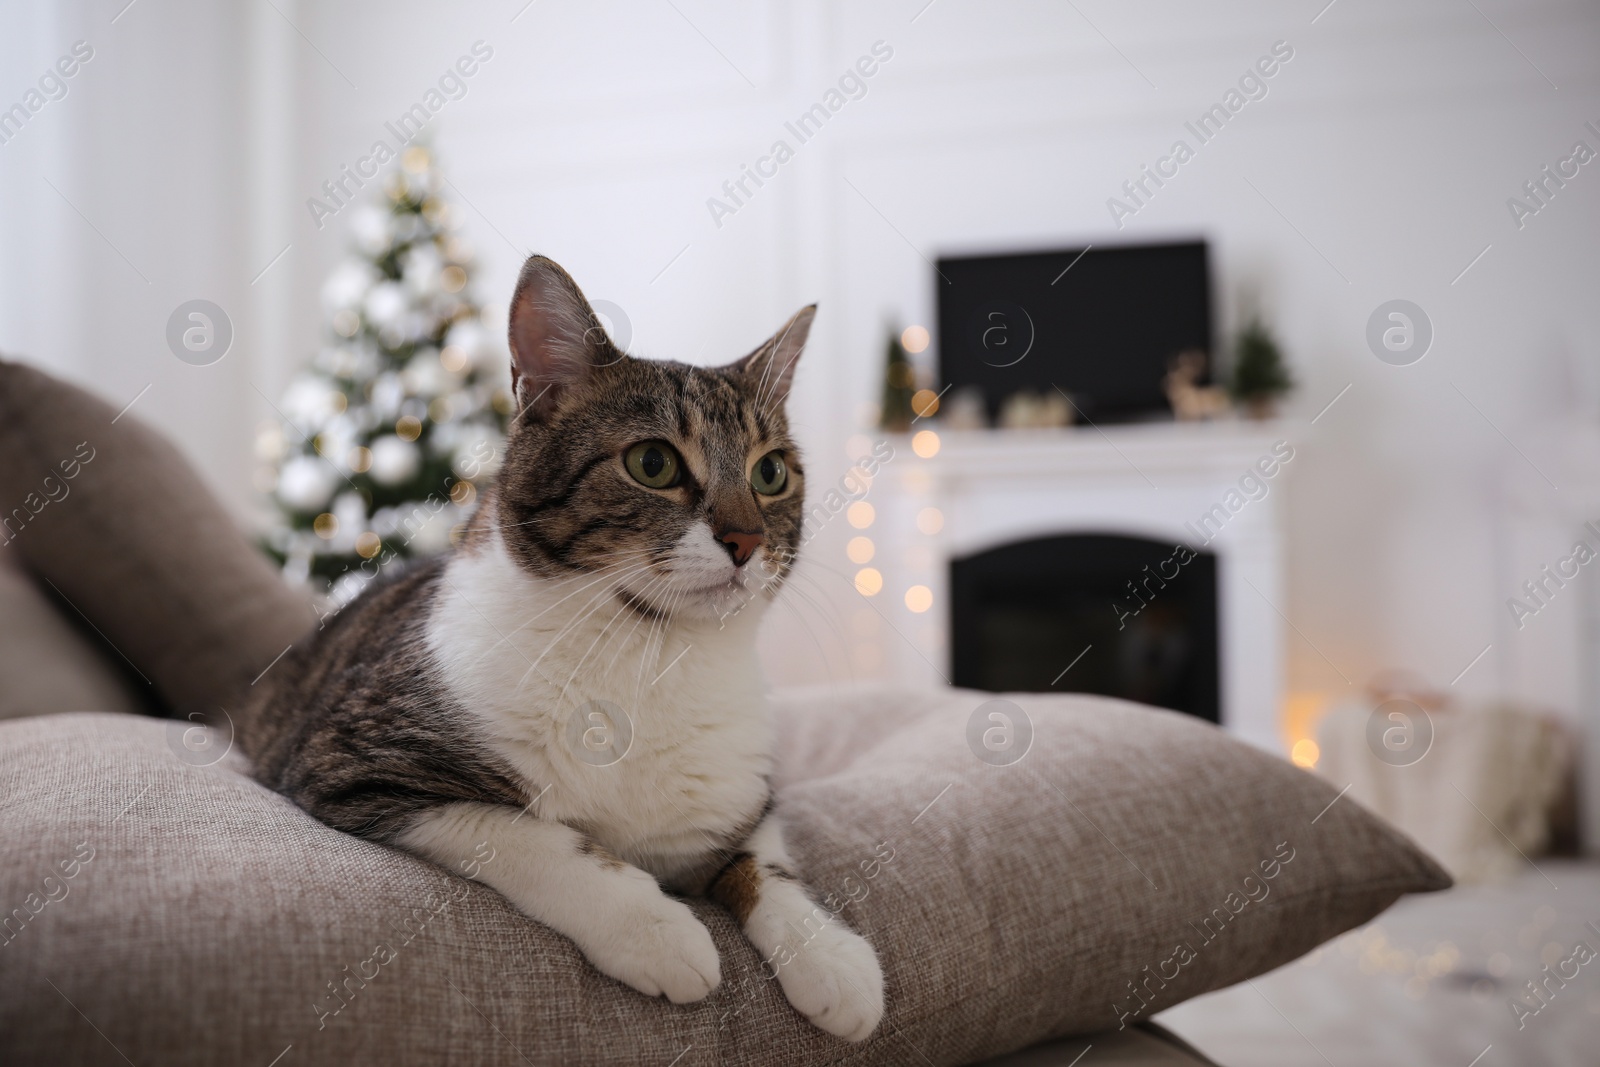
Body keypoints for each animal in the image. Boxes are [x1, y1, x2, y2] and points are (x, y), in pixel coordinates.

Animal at [243, 255, 883, 1043]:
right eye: (652, 462)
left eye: (771, 473)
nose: (746, 539)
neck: (648, 657)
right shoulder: (353, 763)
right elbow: (531, 833)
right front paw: (654, 928)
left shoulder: (743, 794)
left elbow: (768, 864)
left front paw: (832, 956)